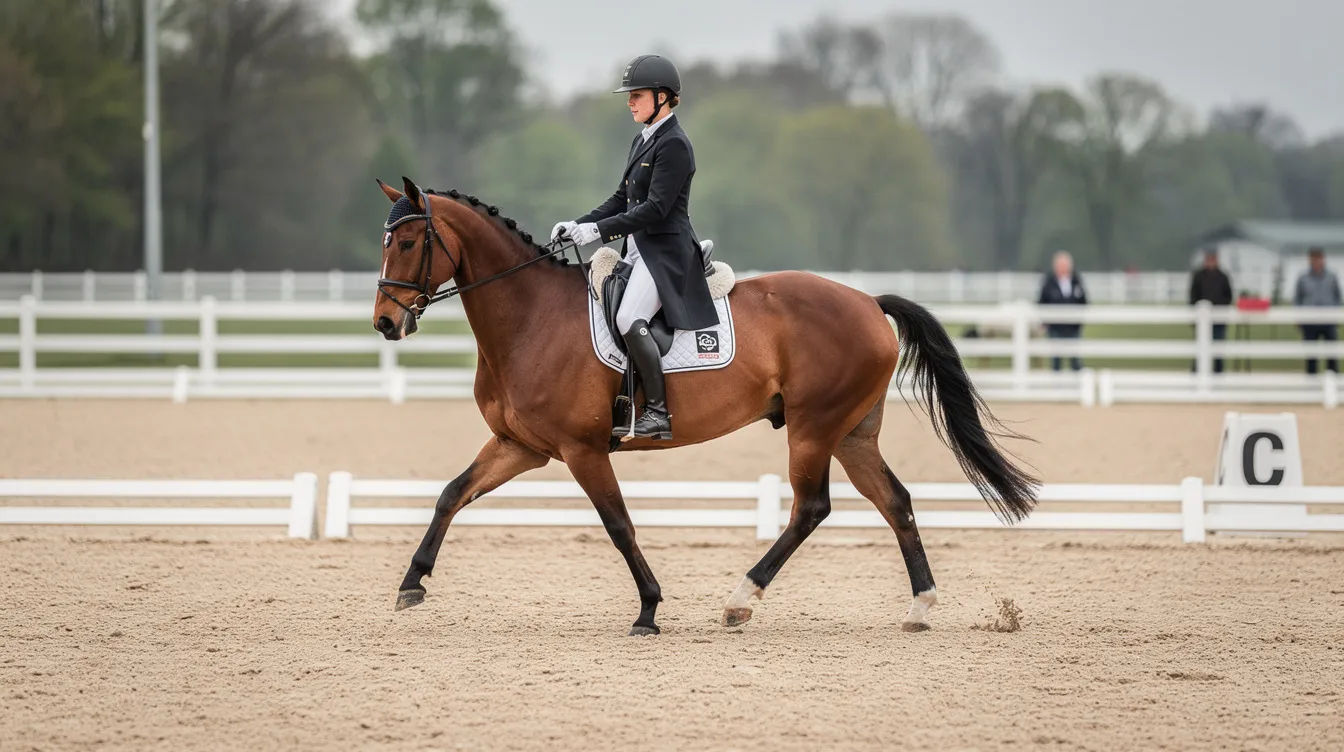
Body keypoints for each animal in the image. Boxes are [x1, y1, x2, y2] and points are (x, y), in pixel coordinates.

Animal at [373, 177, 1039, 636]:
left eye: (406, 241)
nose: (384, 323)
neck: (529, 317)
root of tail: (869, 303)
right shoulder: (522, 447)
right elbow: (451, 494)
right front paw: (411, 584)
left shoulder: (581, 450)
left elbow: (618, 524)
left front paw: (648, 609)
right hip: (852, 434)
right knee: (894, 501)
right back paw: (920, 608)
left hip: (814, 427)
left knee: (811, 508)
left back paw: (740, 601)